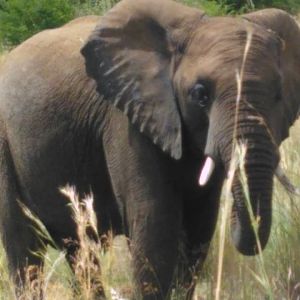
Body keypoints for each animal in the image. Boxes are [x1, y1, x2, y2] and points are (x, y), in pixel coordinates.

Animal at [0, 0, 300, 298]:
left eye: (278, 94)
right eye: (200, 94)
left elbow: (199, 226)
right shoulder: (127, 122)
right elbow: (155, 227)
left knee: (78, 247)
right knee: (24, 245)